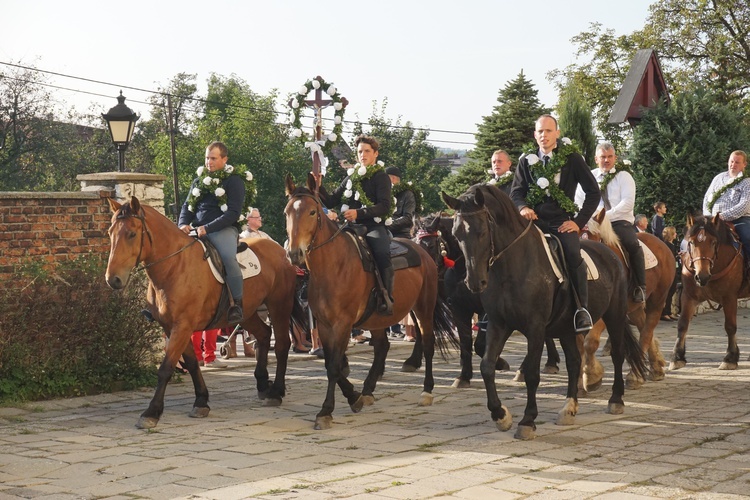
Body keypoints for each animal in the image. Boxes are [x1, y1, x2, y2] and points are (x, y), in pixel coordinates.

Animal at [106, 197, 306, 428]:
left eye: (131, 234)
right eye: (110, 233)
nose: (113, 279)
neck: (174, 266)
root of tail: (281, 250)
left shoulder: (182, 326)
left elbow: (166, 368)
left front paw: (151, 412)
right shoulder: (174, 328)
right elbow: (192, 363)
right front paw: (201, 401)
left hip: (278, 305)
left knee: (281, 344)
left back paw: (276, 391)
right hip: (247, 313)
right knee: (264, 334)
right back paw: (263, 384)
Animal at [284, 173, 456, 430]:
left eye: (313, 212)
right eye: (287, 212)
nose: (295, 254)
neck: (333, 266)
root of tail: (423, 254)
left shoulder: (343, 324)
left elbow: (334, 366)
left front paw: (326, 411)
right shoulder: (324, 324)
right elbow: (333, 364)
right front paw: (353, 397)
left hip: (423, 308)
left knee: (427, 343)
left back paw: (426, 391)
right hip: (379, 317)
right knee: (382, 346)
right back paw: (367, 390)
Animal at [580, 209, 676, 392]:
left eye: (594, 238)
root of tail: (662, 244)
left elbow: (590, 342)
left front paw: (591, 377)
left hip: (658, 299)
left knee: (648, 329)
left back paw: (635, 375)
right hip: (635, 306)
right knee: (643, 324)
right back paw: (655, 366)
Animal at [672, 215, 748, 372]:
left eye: (713, 242)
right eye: (691, 242)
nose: (702, 276)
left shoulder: (729, 297)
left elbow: (730, 326)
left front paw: (730, 358)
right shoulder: (688, 296)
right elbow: (682, 323)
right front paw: (677, 357)